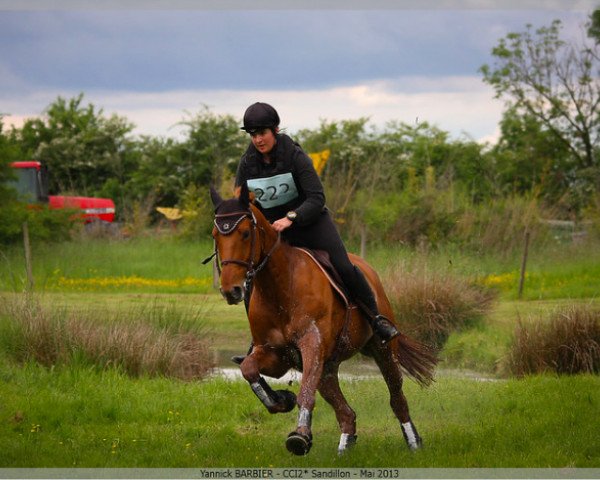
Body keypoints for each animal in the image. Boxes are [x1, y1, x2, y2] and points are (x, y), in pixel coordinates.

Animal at [210, 185, 436, 458]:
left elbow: (306, 392)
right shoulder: (275, 354)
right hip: (328, 367)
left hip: (382, 350)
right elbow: (248, 369)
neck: (280, 287)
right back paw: (345, 447)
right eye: (215, 235)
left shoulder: (312, 345)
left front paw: (299, 436)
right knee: (346, 412)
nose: (230, 290)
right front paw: (281, 399)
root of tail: (366, 267)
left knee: (396, 397)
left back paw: (413, 442)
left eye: (244, 233)